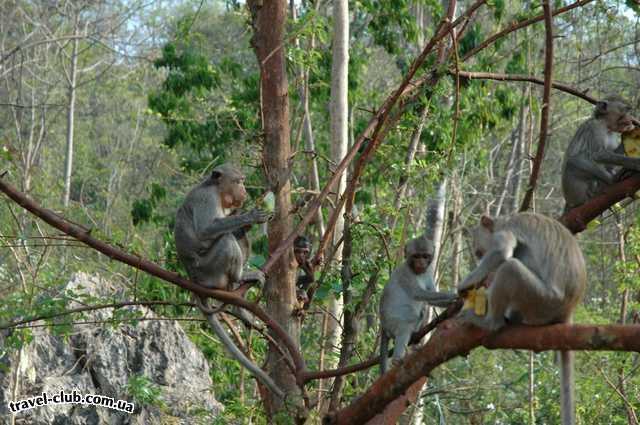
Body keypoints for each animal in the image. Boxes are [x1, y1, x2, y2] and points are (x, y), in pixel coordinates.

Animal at [172, 163, 282, 398]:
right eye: (239, 181)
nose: (245, 192)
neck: (217, 190)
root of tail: (193, 277)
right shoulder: (207, 198)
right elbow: (207, 229)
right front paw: (249, 216)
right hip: (209, 270)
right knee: (227, 239)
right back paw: (241, 278)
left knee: (237, 237)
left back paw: (239, 298)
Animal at [380, 237, 460, 372]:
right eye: (416, 256)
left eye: (425, 256)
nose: (421, 263)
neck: (416, 272)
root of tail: (383, 327)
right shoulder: (405, 273)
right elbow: (418, 293)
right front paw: (454, 296)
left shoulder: (428, 272)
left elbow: (430, 298)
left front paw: (452, 304)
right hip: (391, 322)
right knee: (406, 323)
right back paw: (396, 360)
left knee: (420, 313)